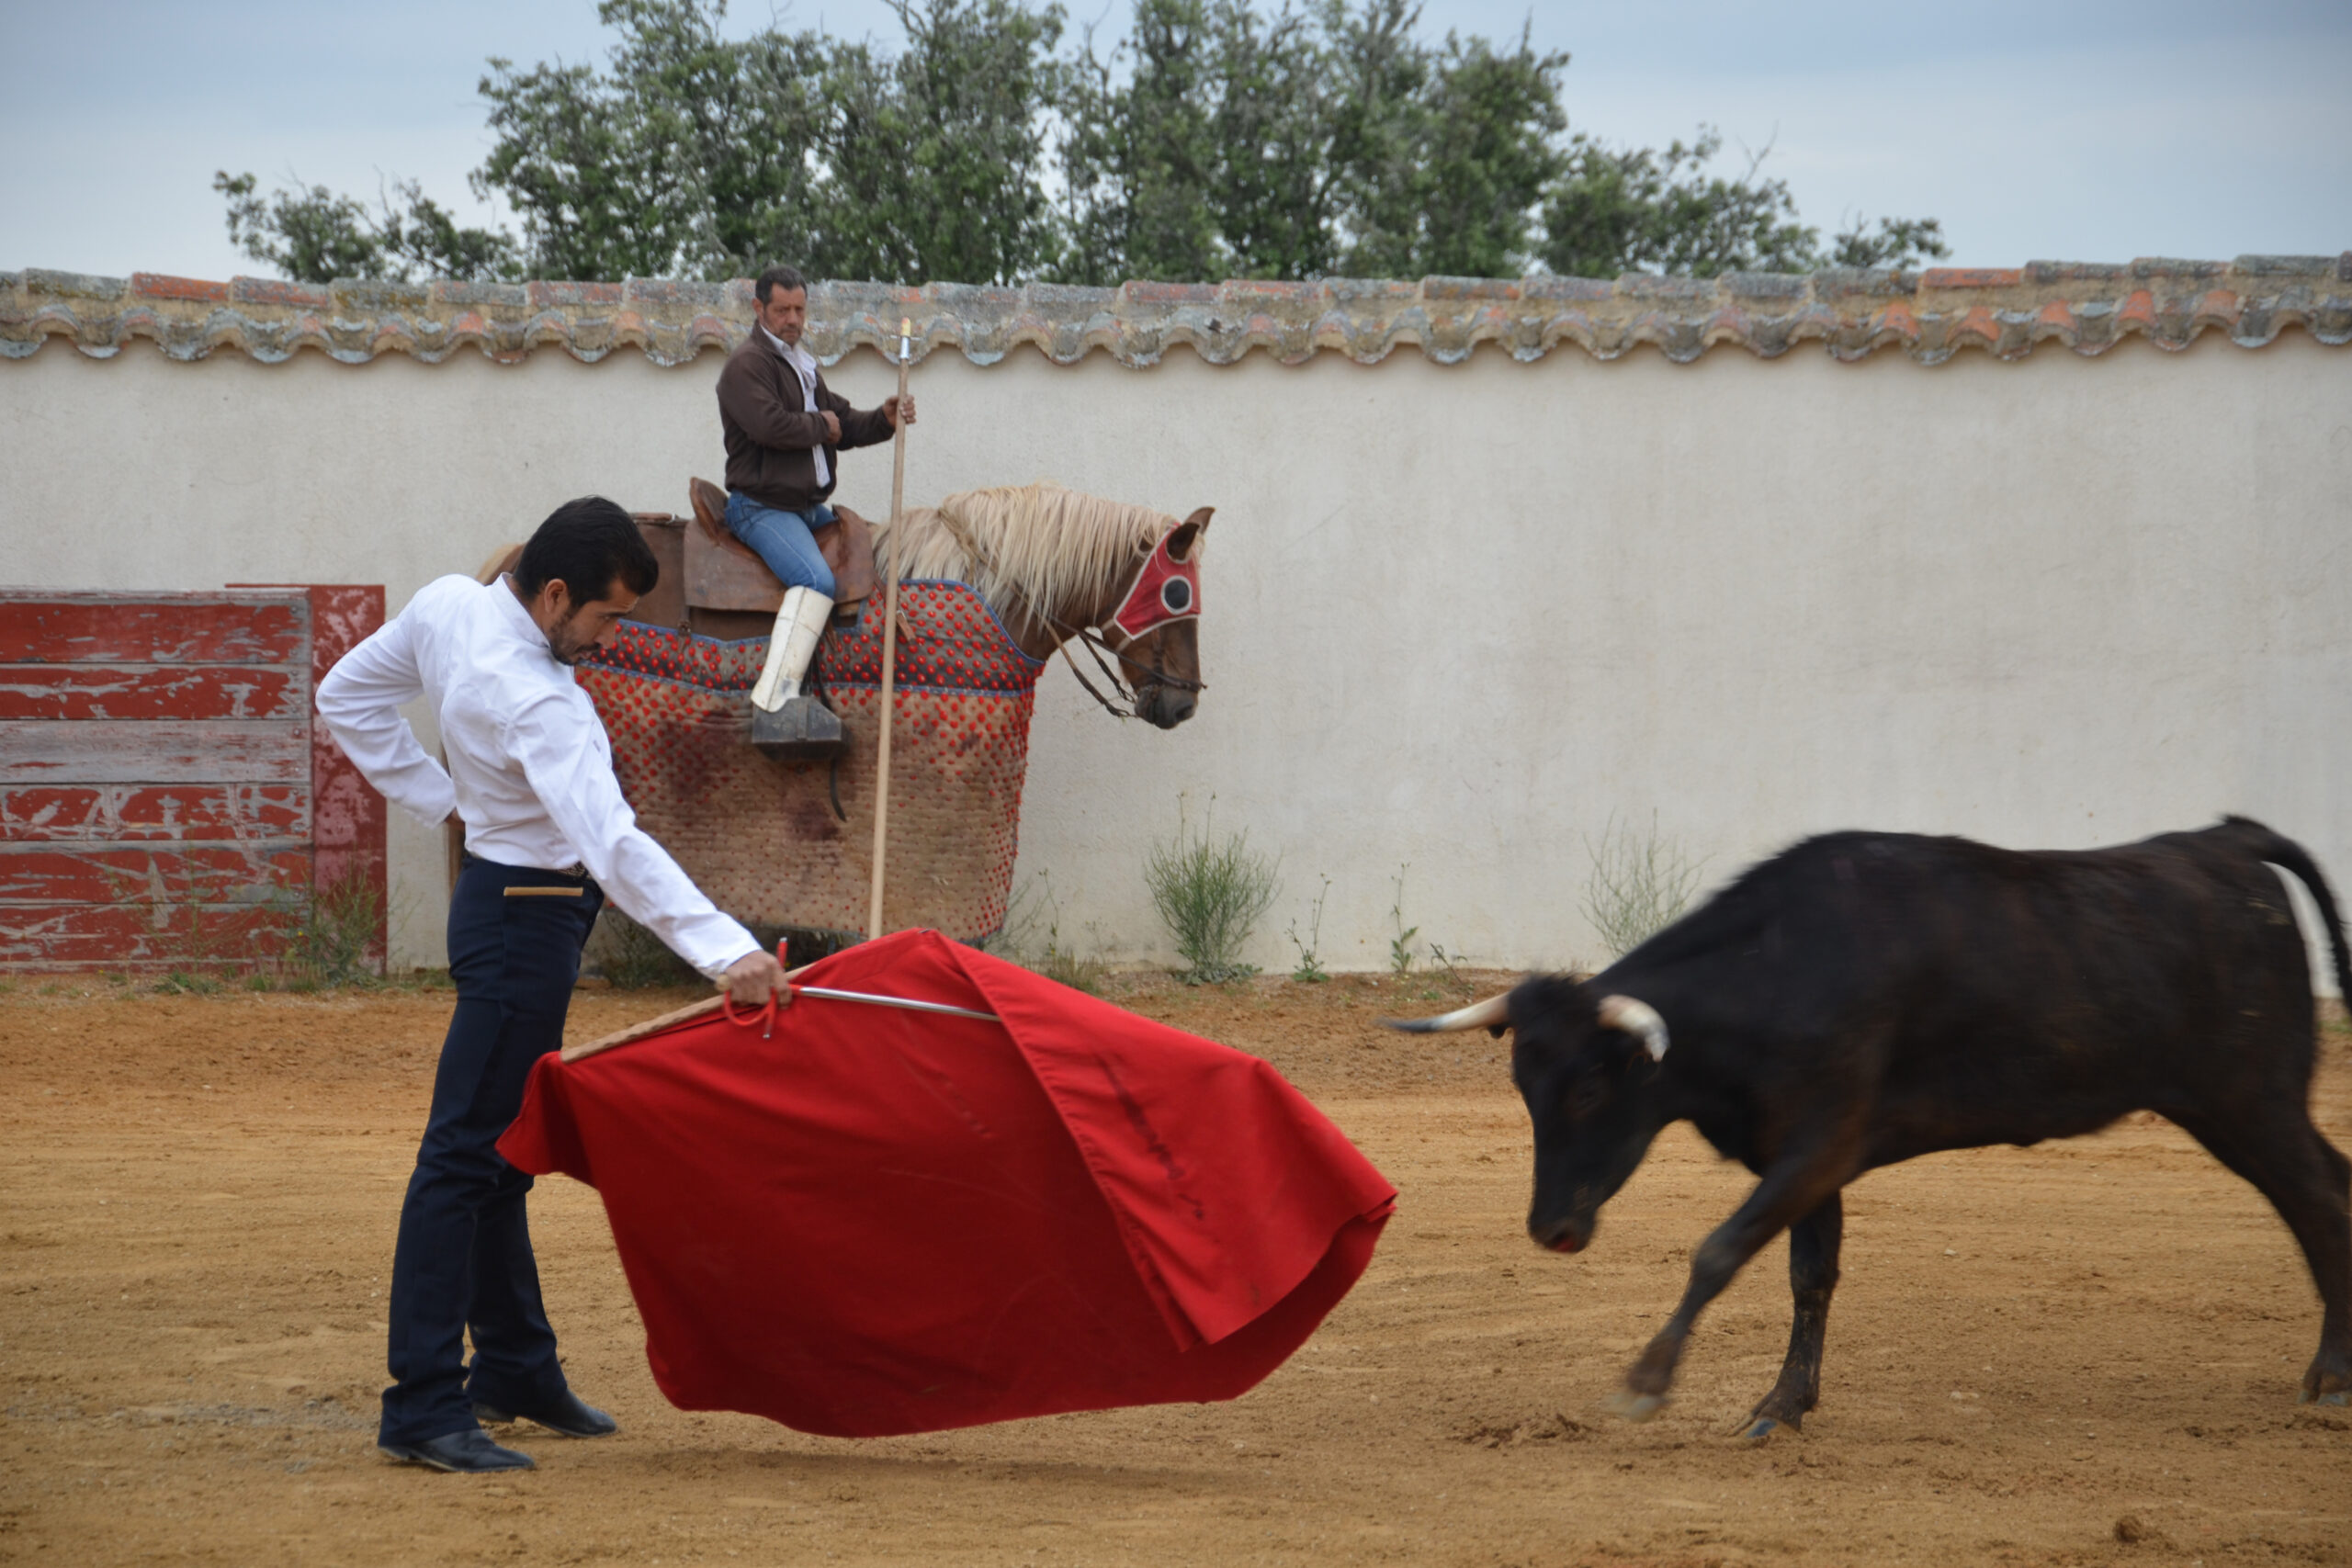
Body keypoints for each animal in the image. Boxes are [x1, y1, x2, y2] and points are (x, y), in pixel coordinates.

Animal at [1392, 818, 2352, 1438]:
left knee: (2319, 1201)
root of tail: (2226, 842)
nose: (1550, 1229)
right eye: (1523, 1086)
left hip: (2250, 1101)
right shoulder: (1803, 1159)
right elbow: (1808, 1276)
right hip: (2237, 1107)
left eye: (1591, 1089)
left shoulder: (1822, 1143)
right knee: (2324, 1191)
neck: (1778, 969)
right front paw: (1781, 1406)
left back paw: (2333, 1376)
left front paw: (1646, 1382)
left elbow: (1721, 1249)